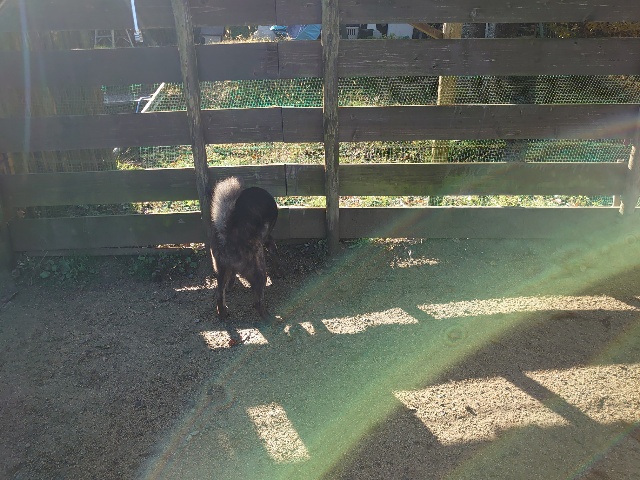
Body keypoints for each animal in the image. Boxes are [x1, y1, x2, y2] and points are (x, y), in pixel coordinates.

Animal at [209, 176, 279, 319]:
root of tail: (225, 231)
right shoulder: (267, 238)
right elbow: (274, 252)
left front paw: (231, 285)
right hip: (259, 272)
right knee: (257, 302)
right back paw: (268, 317)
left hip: (221, 269)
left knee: (219, 295)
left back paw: (223, 313)